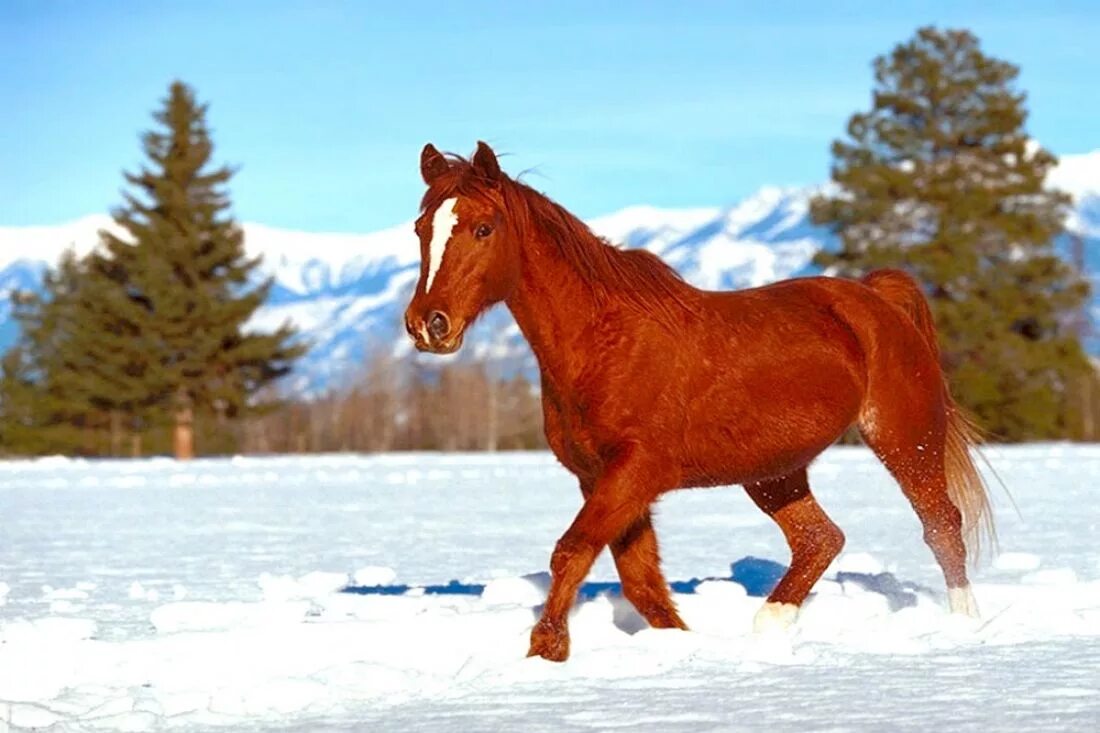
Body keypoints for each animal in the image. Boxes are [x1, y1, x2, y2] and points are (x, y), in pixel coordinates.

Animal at [404, 139, 998, 660]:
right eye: (421, 228)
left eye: (483, 228)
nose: (428, 324)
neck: (602, 341)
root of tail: (877, 298)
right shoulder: (601, 479)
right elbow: (640, 581)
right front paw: (681, 646)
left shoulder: (635, 471)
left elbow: (571, 552)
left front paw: (546, 649)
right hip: (773, 471)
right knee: (820, 538)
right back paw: (771, 624)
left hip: (904, 438)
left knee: (941, 526)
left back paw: (963, 625)